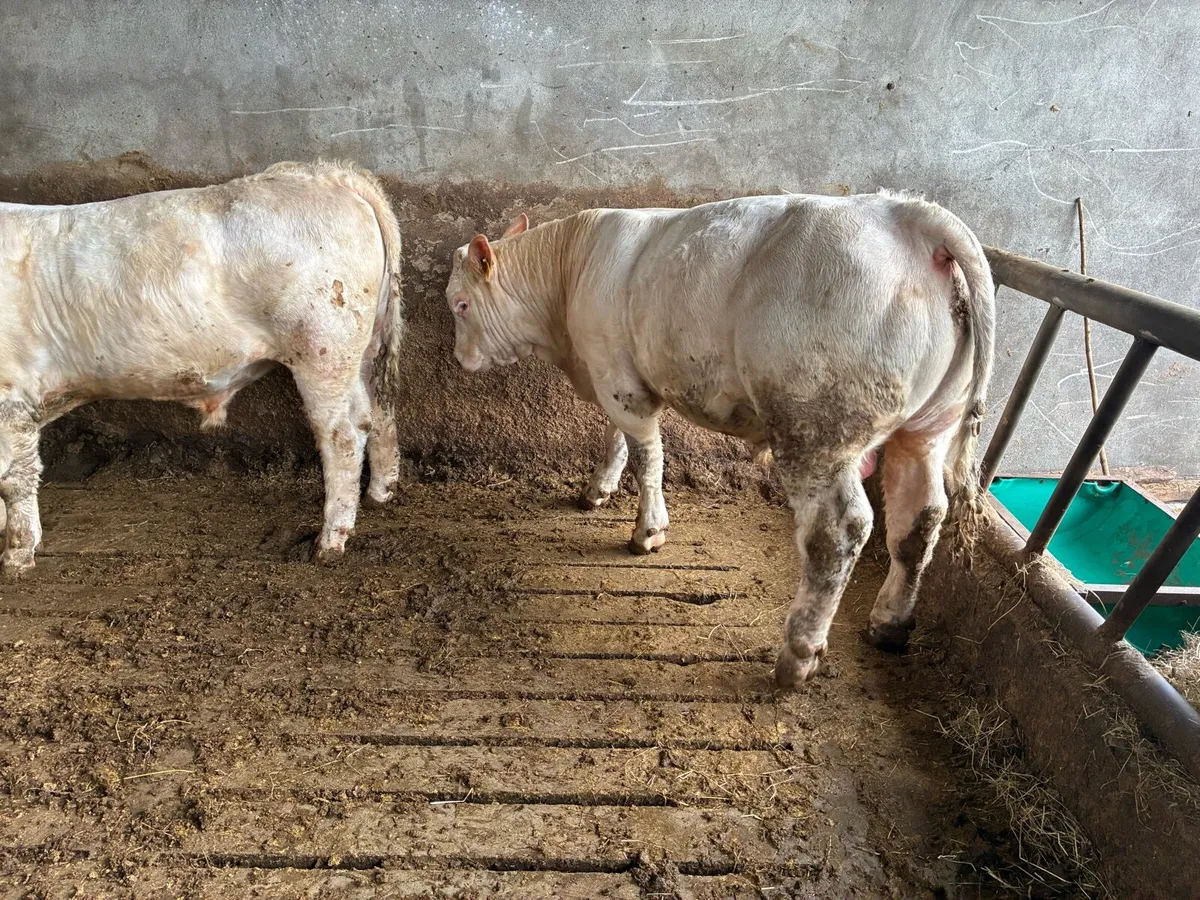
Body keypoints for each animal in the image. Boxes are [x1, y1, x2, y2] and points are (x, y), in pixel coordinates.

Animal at [0, 160, 404, 575]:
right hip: (363, 348)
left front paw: (16, 556)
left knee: (343, 435)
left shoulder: (11, 394)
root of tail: (327, 174)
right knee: (376, 412)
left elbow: (13, 479)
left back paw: (330, 541)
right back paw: (379, 493)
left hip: (322, 349)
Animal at [443, 191, 994, 688]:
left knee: (839, 532)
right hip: (926, 429)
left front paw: (648, 531)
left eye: (461, 304)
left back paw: (797, 657)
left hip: (817, 430)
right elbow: (616, 438)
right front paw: (598, 488)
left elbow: (647, 457)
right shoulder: (616, 374)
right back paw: (890, 623)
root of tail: (904, 213)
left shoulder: (620, 382)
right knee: (921, 517)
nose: (458, 360)